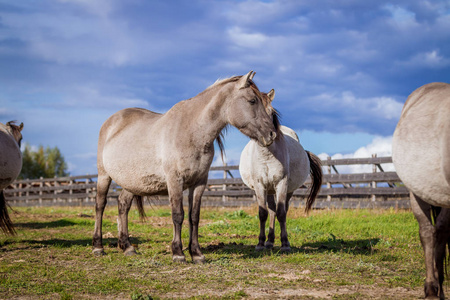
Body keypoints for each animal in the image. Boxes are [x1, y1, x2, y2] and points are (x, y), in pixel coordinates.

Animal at [239, 90, 324, 252]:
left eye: (272, 113)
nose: (269, 135)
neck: (267, 155)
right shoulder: (260, 185)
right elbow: (263, 213)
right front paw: (260, 243)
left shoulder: (281, 183)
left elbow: (282, 213)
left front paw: (285, 244)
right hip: (269, 189)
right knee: (271, 210)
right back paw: (269, 241)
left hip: (287, 190)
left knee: (281, 209)